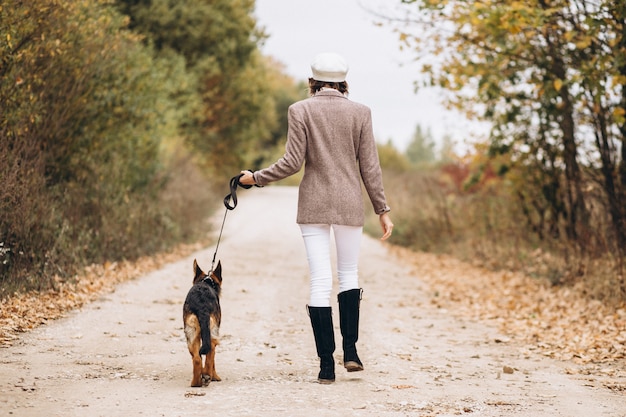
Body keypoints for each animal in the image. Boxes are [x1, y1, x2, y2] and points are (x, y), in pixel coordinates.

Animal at [183, 258, 222, 386]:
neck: (206, 282)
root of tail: (202, 304)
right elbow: (212, 360)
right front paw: (214, 376)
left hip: (191, 335)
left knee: (196, 359)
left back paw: (196, 382)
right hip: (212, 335)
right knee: (210, 354)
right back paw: (206, 375)